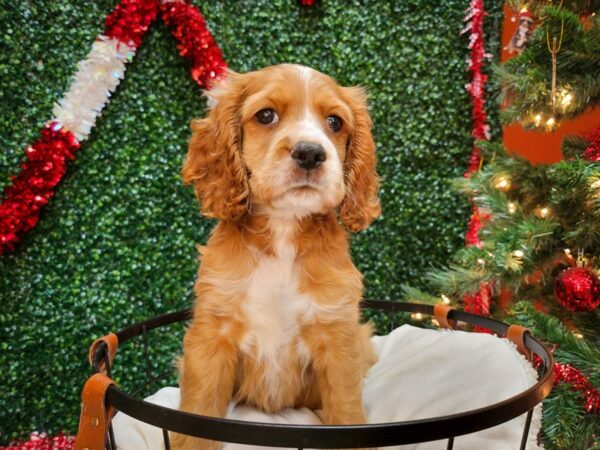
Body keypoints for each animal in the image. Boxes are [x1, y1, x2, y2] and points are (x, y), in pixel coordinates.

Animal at [173, 63, 380, 450]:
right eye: (266, 115)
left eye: (334, 122)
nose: (311, 153)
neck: (283, 230)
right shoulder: (211, 336)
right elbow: (198, 415)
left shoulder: (339, 338)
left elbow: (346, 411)